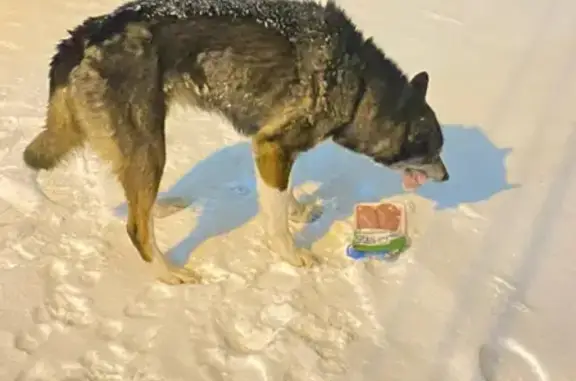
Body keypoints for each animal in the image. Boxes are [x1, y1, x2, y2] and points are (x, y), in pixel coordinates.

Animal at [23, 0, 450, 284]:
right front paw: (291, 255)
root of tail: (85, 35)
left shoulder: (276, 150)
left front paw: (297, 210)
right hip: (150, 145)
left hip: (137, 147)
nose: (447, 177)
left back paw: (161, 208)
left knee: (132, 200)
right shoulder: (271, 146)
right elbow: (276, 219)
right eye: (434, 151)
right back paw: (168, 273)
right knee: (136, 228)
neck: (359, 85)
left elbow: (285, 192)